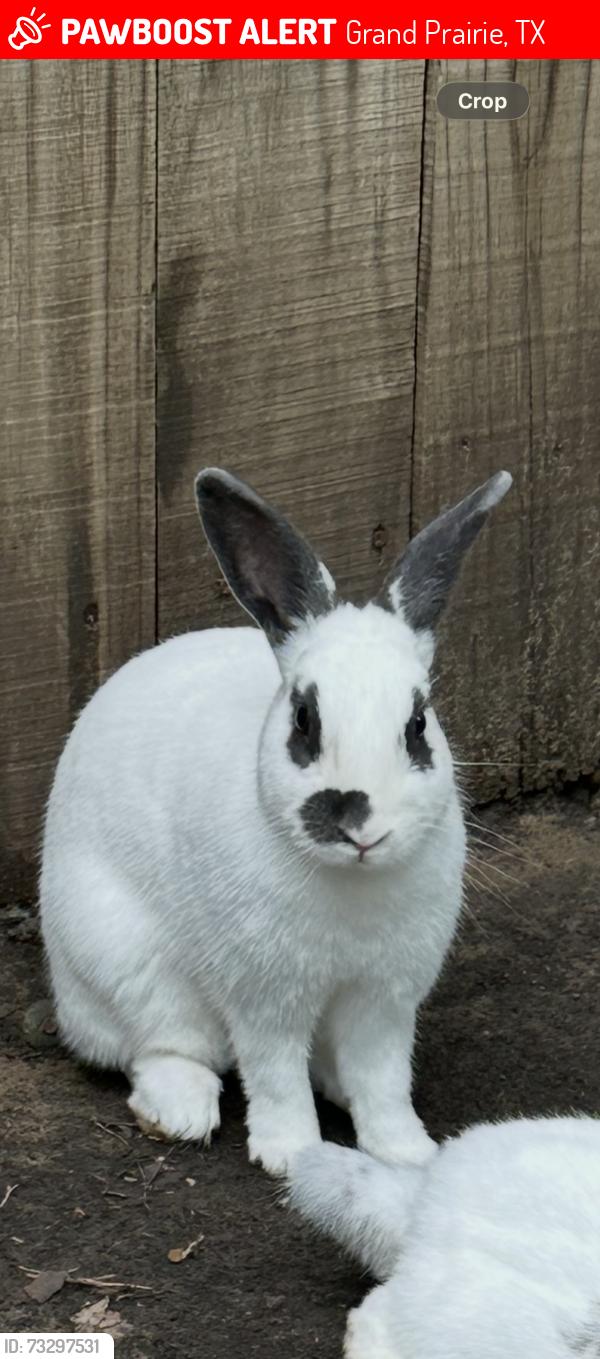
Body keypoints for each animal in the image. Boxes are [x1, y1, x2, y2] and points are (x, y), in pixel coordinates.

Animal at [40, 466, 511, 1176]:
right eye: (304, 720)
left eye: (418, 723)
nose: (357, 821)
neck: (350, 882)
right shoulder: (266, 998)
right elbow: (275, 1074)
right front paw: (293, 1155)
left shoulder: (386, 1002)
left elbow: (383, 1081)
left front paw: (408, 1153)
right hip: (126, 965)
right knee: (163, 1048)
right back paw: (179, 1111)